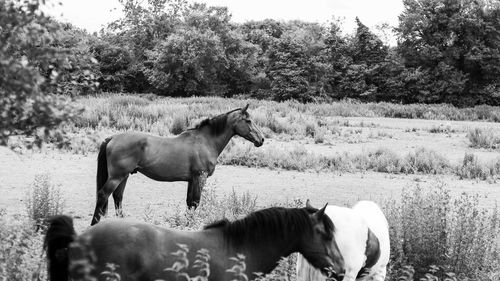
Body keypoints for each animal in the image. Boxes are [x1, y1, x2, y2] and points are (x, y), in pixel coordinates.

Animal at [89, 104, 264, 224]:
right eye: (248, 120)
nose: (261, 139)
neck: (205, 141)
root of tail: (113, 138)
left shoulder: (192, 180)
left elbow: (189, 203)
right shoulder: (200, 177)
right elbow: (195, 202)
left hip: (124, 176)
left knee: (118, 197)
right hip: (117, 177)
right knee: (103, 194)